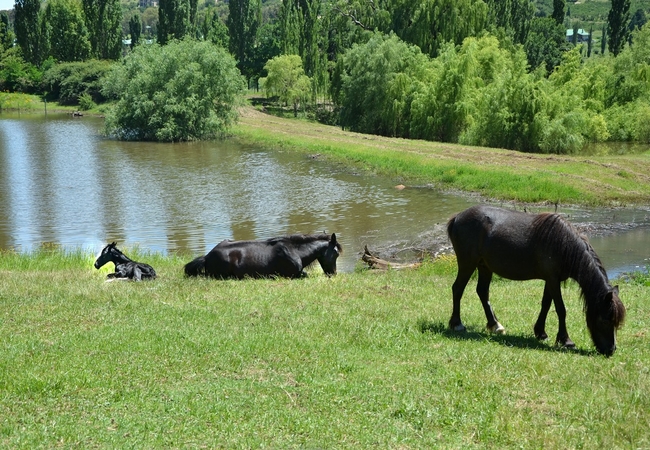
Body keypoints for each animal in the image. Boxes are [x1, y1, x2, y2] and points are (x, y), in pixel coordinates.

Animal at [446, 206, 624, 356]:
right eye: (605, 320)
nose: (611, 350)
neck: (563, 245)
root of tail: (457, 217)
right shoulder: (553, 279)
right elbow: (560, 309)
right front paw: (566, 340)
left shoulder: (551, 280)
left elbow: (546, 304)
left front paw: (540, 332)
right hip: (467, 263)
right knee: (458, 289)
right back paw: (457, 324)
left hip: (484, 266)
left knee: (482, 292)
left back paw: (495, 325)